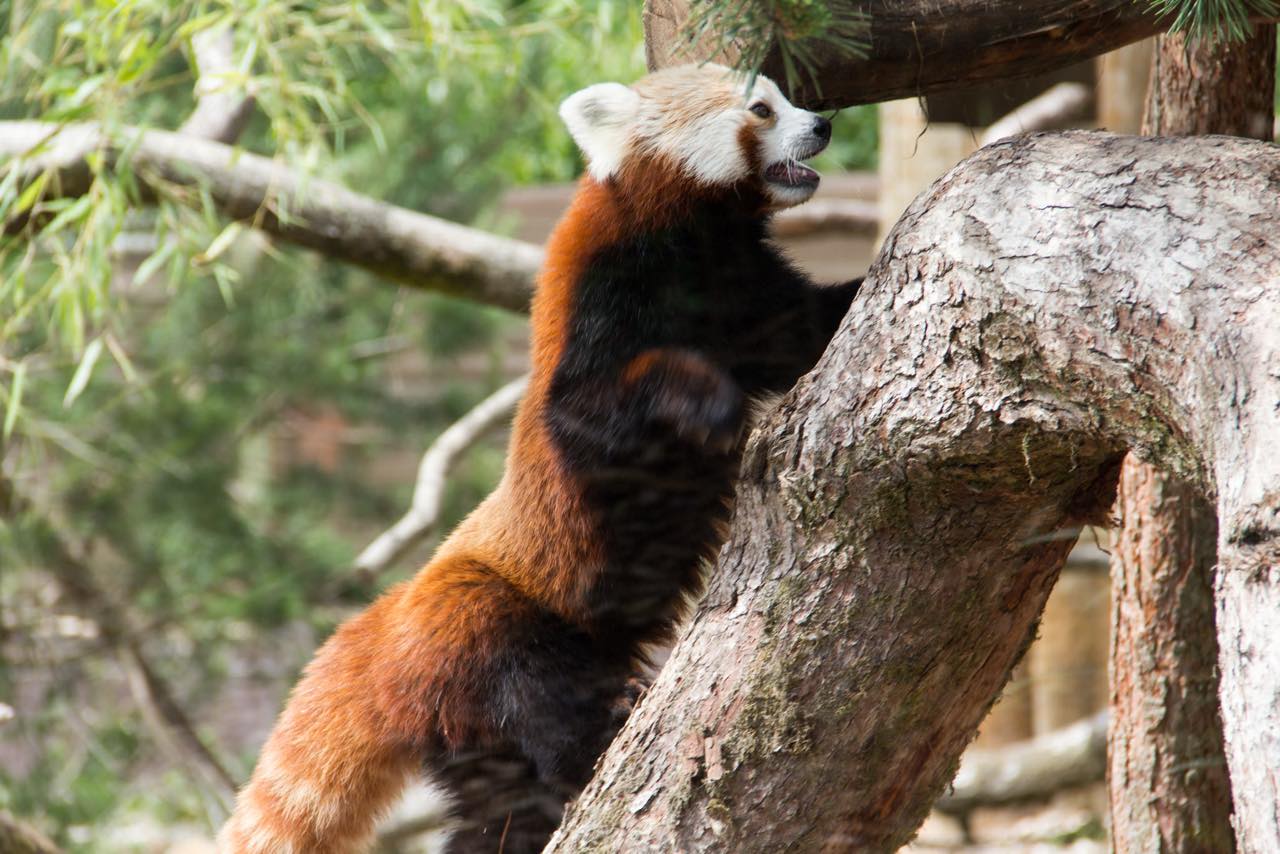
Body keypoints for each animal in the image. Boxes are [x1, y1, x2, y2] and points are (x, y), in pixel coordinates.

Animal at [220, 62, 862, 854]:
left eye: (786, 96)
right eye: (762, 109)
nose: (824, 124)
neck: (697, 246)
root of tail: (383, 627)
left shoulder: (749, 290)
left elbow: (807, 325)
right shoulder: (601, 309)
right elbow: (599, 412)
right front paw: (711, 403)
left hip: (470, 729)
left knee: (502, 808)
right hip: (491, 630)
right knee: (539, 702)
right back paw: (604, 728)